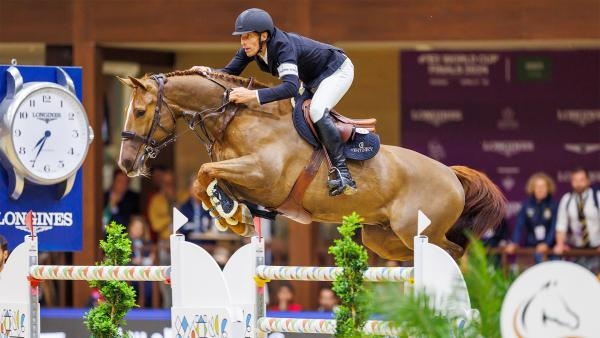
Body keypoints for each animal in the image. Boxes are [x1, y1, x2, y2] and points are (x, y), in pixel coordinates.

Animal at [116, 70, 502, 260]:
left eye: (140, 112)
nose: (125, 164)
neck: (238, 118)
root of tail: (451, 174)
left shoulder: (264, 176)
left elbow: (203, 174)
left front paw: (230, 213)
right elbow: (206, 180)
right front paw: (233, 214)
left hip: (419, 231)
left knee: (455, 251)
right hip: (384, 237)